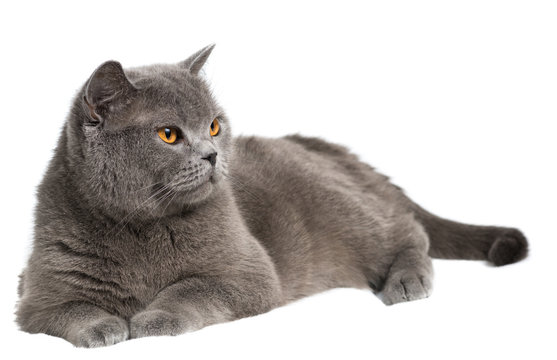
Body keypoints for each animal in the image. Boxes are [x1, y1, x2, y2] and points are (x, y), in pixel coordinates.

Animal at [15, 44, 528, 346]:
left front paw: (150, 320)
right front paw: (104, 326)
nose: (212, 155)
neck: (140, 229)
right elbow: (67, 308)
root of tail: (320, 145)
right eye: (168, 134)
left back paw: (407, 281)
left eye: (214, 126)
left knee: (408, 230)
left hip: (346, 214)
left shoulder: (249, 272)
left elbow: (190, 287)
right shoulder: (38, 296)